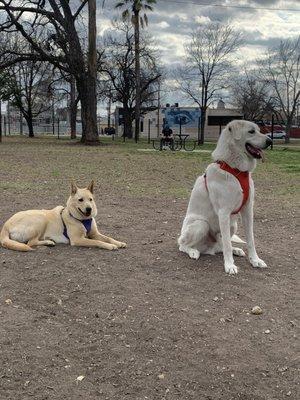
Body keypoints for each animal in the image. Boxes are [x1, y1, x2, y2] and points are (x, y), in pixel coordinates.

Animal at [177, 119, 274, 276]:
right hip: (201, 224)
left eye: (259, 130)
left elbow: (250, 240)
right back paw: (193, 252)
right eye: (251, 131)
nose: (270, 141)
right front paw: (229, 265)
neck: (235, 170)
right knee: (183, 244)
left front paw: (255, 260)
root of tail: (208, 249)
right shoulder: (224, 213)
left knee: (221, 245)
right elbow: (228, 244)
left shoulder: (248, 211)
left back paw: (236, 250)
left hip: (233, 225)